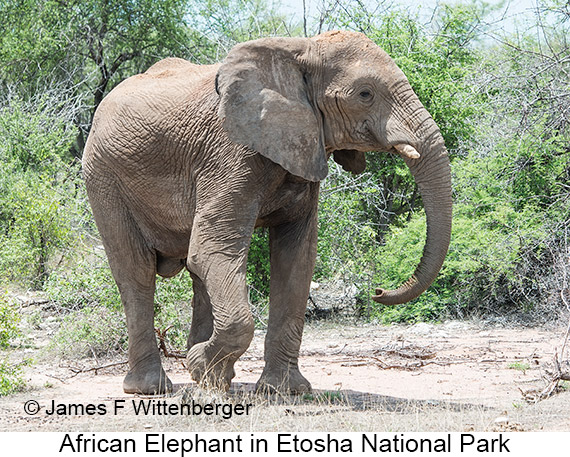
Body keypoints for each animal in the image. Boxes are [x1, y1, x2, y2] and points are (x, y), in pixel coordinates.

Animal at [82, 30, 450, 394]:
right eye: (365, 94)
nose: (378, 292)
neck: (300, 51)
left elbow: (296, 258)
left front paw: (283, 390)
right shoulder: (229, 154)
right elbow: (212, 248)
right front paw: (200, 364)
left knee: (196, 275)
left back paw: (215, 383)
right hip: (104, 178)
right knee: (138, 272)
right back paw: (153, 387)